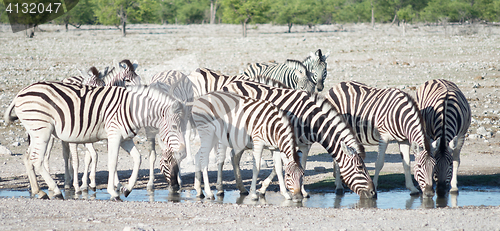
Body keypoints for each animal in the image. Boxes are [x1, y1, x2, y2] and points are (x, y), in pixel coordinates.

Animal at [2, 81, 187, 200]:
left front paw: (127, 189)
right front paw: (114, 192)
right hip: (43, 130)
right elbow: (113, 162)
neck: (132, 109)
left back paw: (39, 191)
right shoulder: (114, 135)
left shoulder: (125, 138)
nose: (184, 152)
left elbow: (138, 158)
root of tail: (20, 93)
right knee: (37, 159)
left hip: (35, 132)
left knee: (28, 157)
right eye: (174, 126)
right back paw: (55, 191)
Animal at [222, 77, 376, 199]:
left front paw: (300, 191)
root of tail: (230, 84)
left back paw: (242, 189)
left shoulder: (304, 145)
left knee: (234, 156)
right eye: (360, 168)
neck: (311, 120)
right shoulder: (288, 140)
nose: (373, 193)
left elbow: (301, 165)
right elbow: (283, 165)